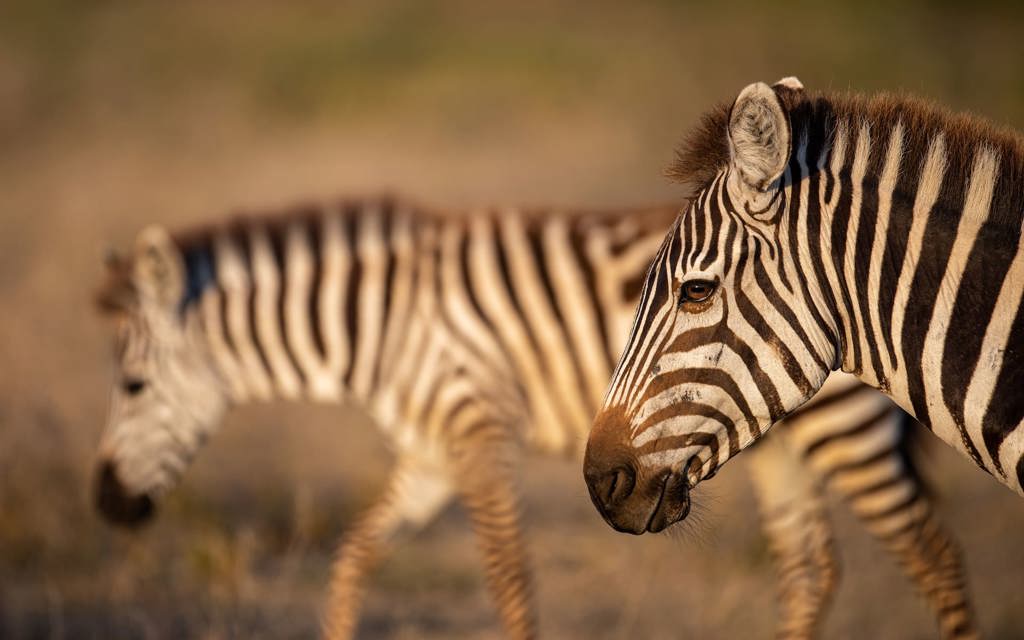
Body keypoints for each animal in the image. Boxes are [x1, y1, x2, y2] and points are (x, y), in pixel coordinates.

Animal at [93, 197, 974, 639]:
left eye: (132, 386)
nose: (104, 505)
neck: (384, 326)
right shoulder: (431, 453)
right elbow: (354, 557)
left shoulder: (476, 430)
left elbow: (508, 577)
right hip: (782, 444)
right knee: (811, 571)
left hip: (845, 430)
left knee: (935, 559)